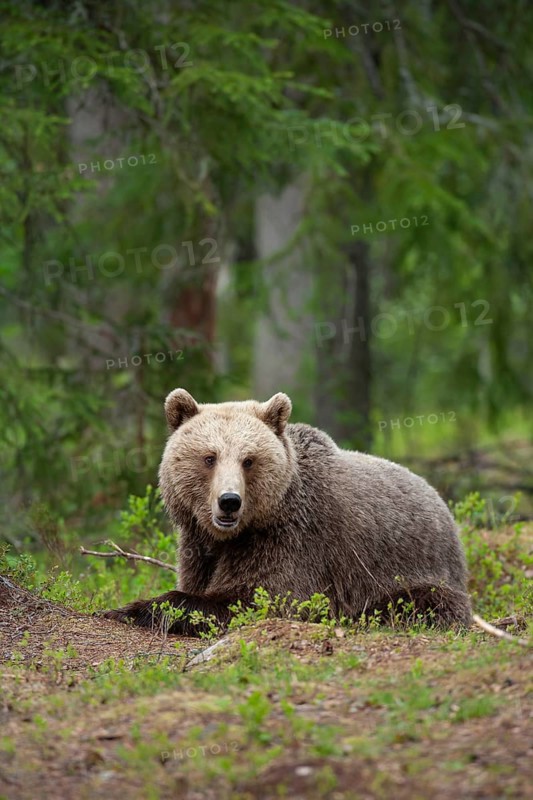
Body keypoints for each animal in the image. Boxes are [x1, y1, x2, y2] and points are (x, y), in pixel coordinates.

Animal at [104, 389, 472, 635]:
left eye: (248, 460)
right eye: (209, 457)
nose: (229, 501)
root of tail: (443, 507)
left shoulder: (293, 540)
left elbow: (262, 598)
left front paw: (135, 608)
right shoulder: (198, 544)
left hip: (414, 572)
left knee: (420, 603)